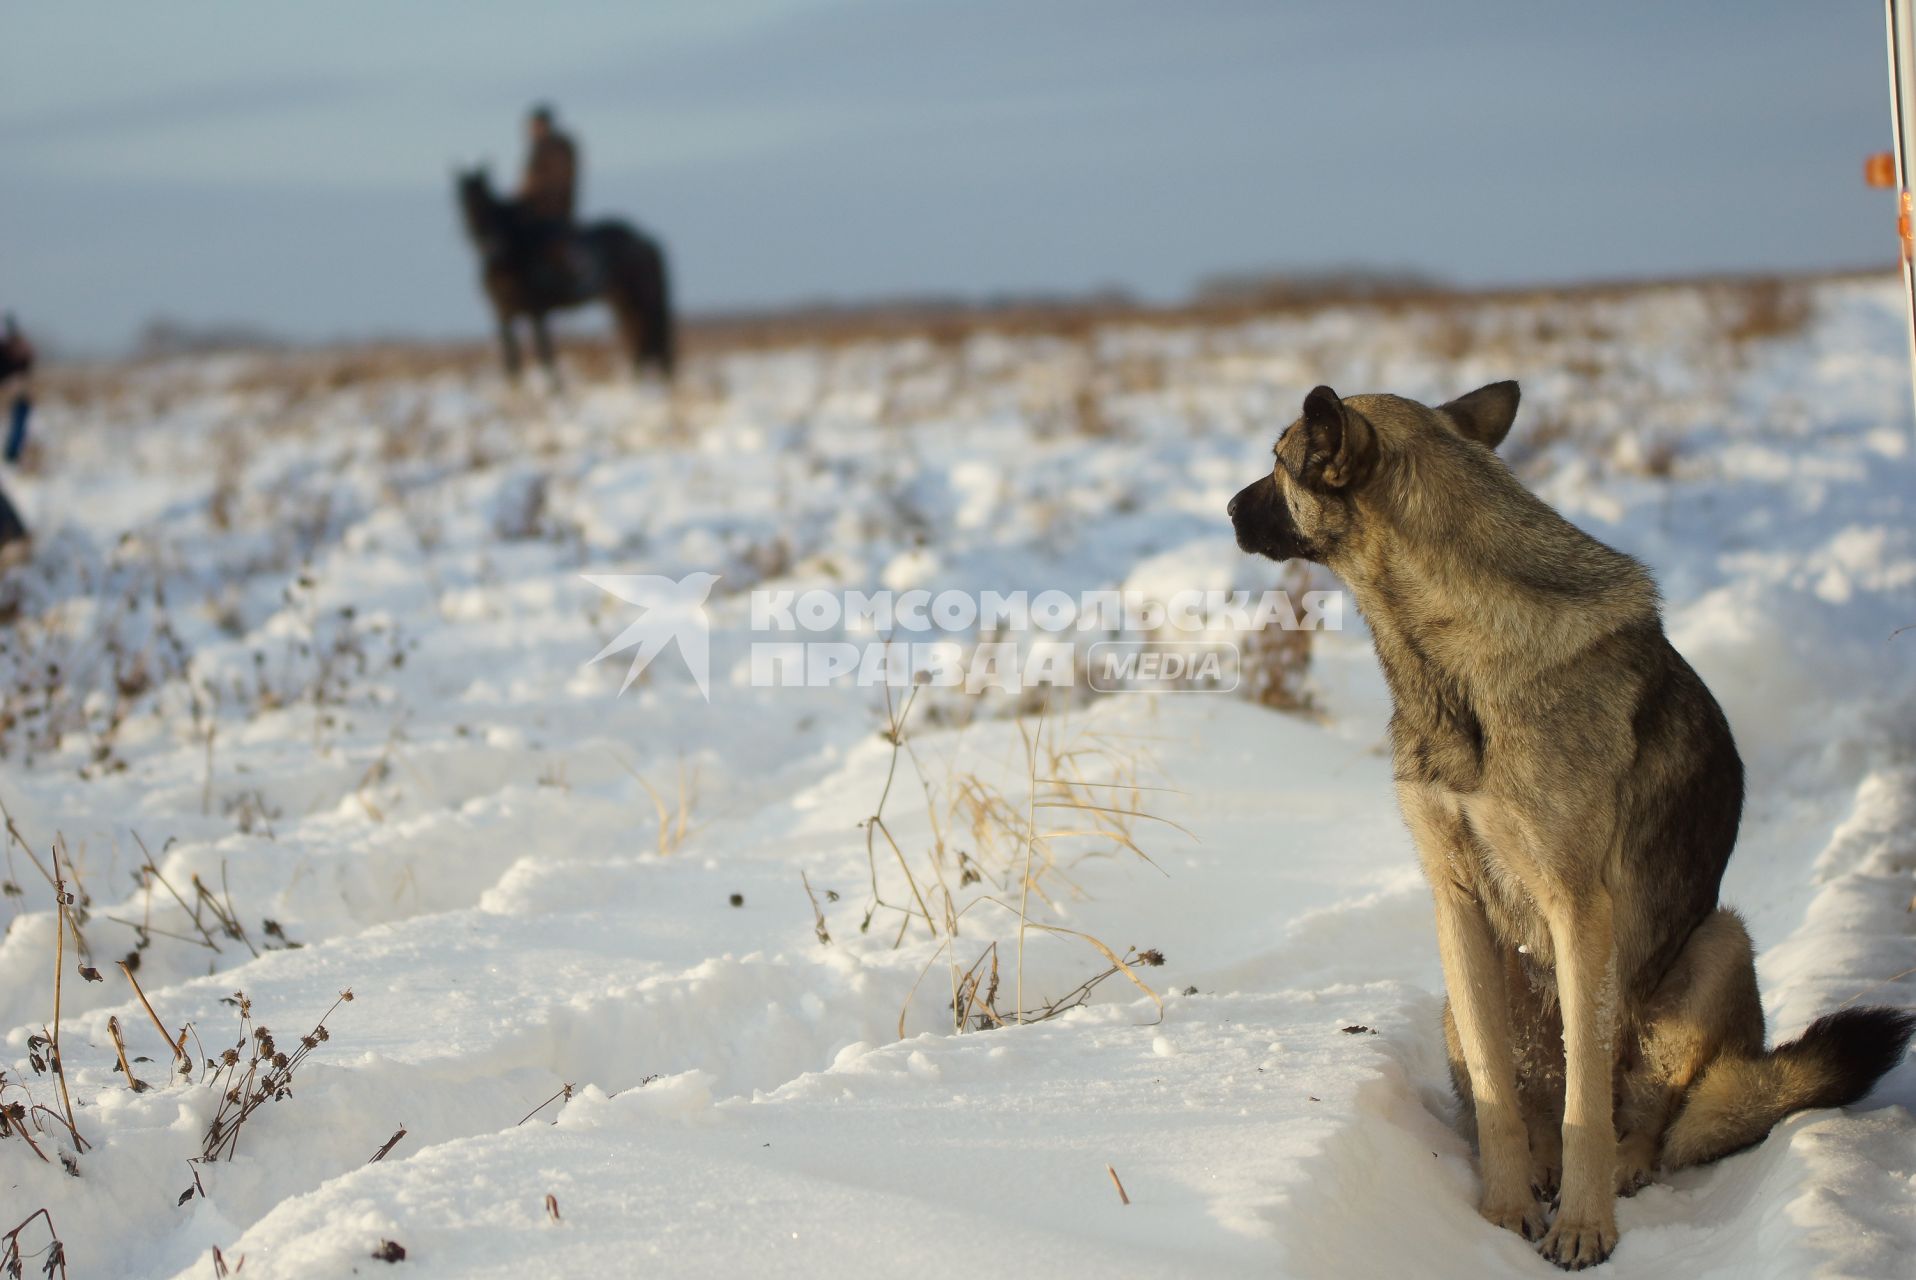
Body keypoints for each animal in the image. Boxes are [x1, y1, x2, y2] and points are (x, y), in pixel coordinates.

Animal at [456, 167, 674, 383]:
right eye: (463, 203)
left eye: (483, 203)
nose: (487, 242)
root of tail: (644, 239)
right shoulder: (503, 315)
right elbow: (513, 361)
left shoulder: (536, 311)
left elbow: (544, 354)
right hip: (622, 304)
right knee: (640, 341)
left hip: (639, 302)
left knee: (646, 342)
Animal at [1233, 383, 1908, 1272]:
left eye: (1279, 462)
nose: (1228, 509)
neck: (1453, 660)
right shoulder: (1456, 902)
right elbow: (1497, 1094)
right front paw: (1503, 1211)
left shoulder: (1578, 909)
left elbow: (1586, 1103)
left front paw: (1583, 1226)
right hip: (1459, 1001)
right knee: (1539, 1099)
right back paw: (1541, 1166)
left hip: (1717, 944)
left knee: (1648, 1120)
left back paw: (1621, 1168)